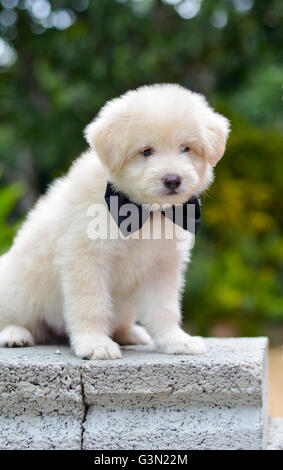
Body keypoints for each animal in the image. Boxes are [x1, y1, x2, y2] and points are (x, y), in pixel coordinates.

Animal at [0, 83, 231, 360]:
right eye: (146, 151)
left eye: (186, 148)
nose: (172, 179)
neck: (145, 212)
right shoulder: (86, 260)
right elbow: (92, 305)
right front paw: (95, 343)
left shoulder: (162, 267)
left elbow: (164, 308)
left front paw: (175, 340)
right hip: (17, 289)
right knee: (15, 318)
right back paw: (14, 334)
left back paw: (129, 333)